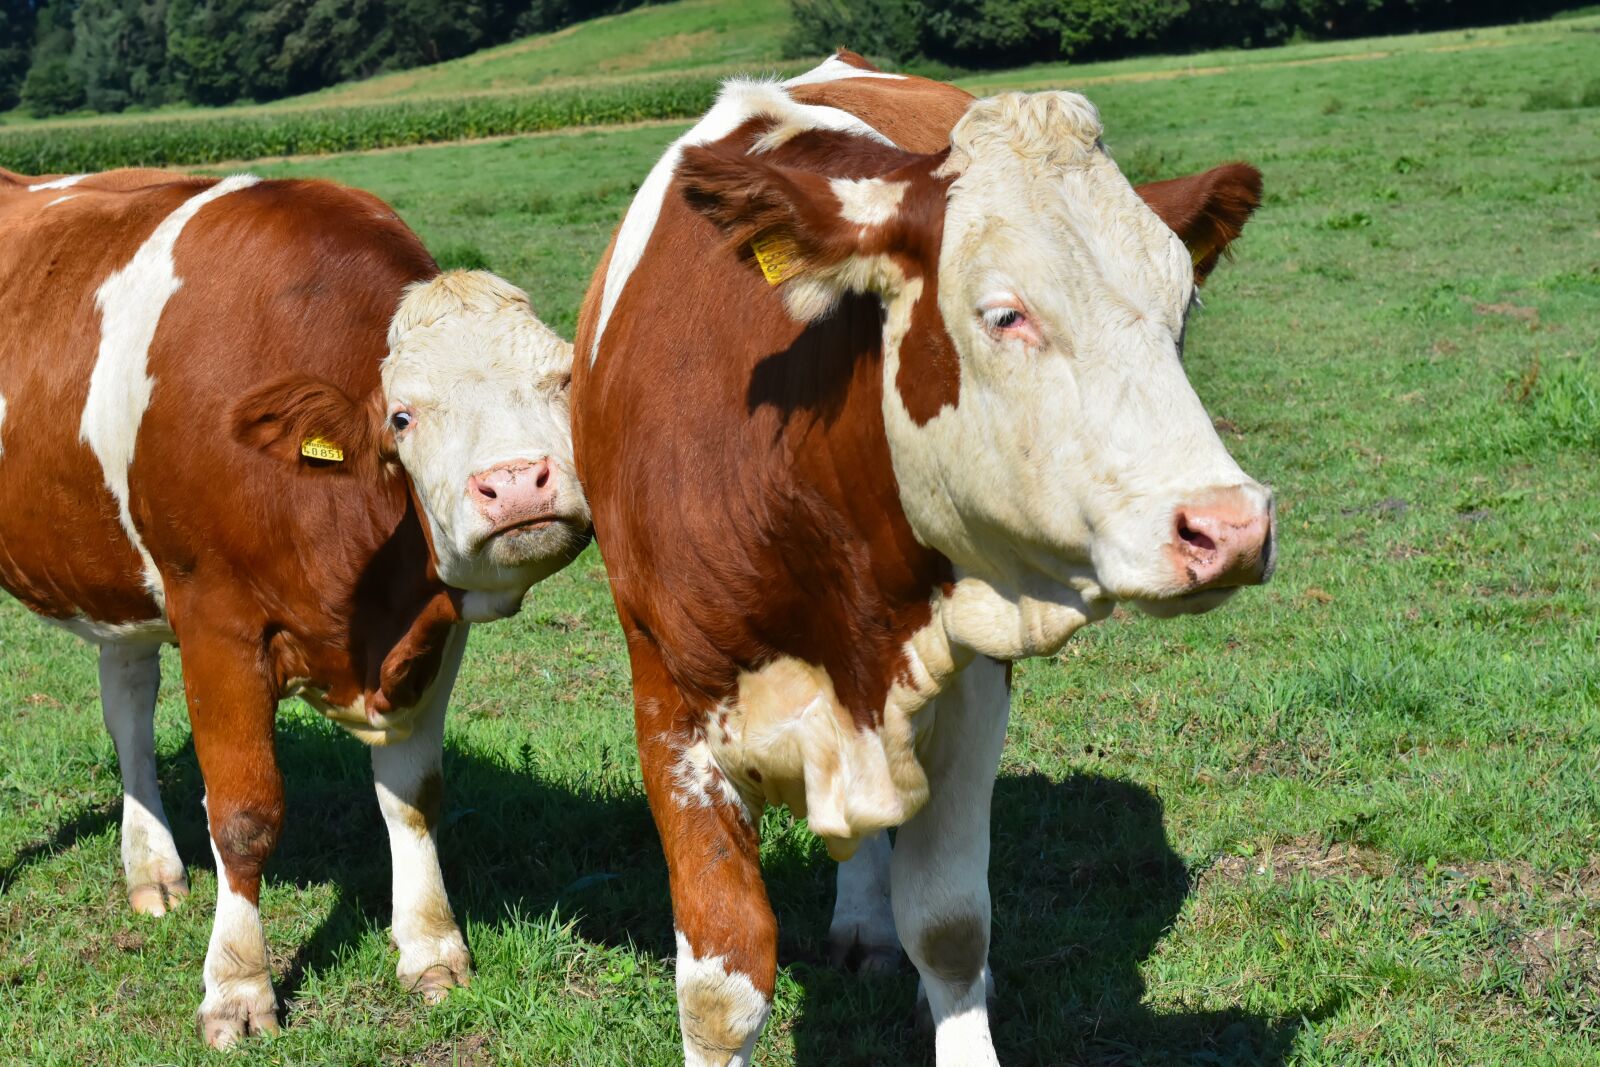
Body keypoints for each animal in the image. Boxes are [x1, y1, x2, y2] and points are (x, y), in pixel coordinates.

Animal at [0, 168, 590, 1046]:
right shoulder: (216, 621)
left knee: (127, 702)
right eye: (403, 416)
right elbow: (245, 814)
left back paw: (152, 868)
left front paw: (430, 947)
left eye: (564, 381)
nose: (518, 483)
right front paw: (238, 987)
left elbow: (415, 795)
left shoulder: (431, 631)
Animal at [570, 52, 1273, 1066]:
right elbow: (721, 982)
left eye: (1184, 308)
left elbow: (947, 923)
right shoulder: (667, 700)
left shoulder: (971, 677)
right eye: (1006, 314)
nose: (1230, 525)